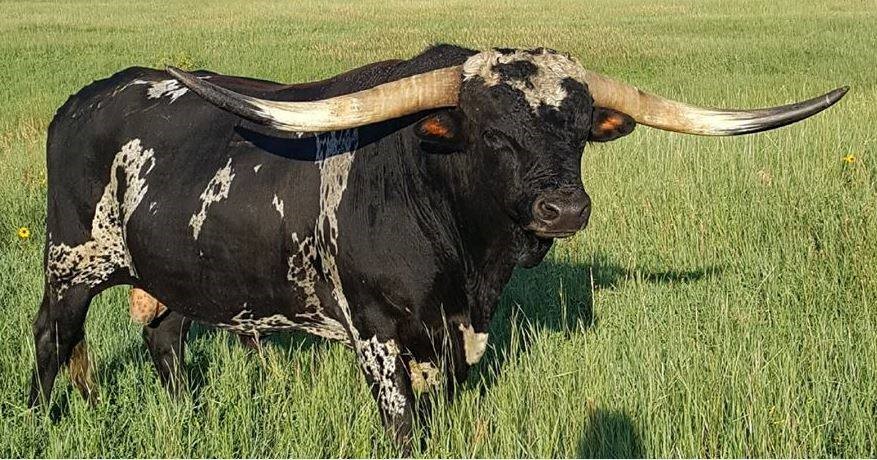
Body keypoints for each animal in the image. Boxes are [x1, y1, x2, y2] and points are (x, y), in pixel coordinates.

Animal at [31, 44, 846, 444]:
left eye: (582, 131)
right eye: (490, 131)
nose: (563, 208)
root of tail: (84, 99)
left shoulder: (451, 334)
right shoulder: (376, 331)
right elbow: (402, 428)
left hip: (174, 271)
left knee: (164, 336)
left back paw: (189, 418)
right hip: (72, 261)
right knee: (52, 336)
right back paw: (41, 420)